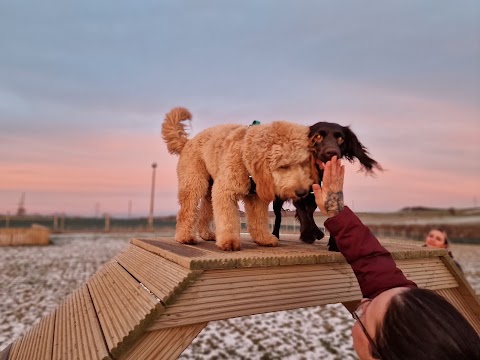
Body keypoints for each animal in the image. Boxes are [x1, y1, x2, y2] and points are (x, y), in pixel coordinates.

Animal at [162, 107, 312, 250]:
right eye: (283, 166)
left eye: (303, 163)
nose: (302, 192)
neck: (244, 154)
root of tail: (187, 142)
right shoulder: (225, 192)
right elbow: (228, 219)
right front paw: (229, 241)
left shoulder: (255, 197)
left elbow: (259, 220)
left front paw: (264, 239)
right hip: (194, 183)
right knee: (186, 211)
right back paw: (185, 237)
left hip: (210, 189)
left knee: (205, 211)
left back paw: (207, 234)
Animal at [272, 121, 380, 250]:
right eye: (318, 136)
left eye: (340, 138)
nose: (332, 152)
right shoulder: (299, 193)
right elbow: (302, 212)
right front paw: (308, 234)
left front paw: (332, 241)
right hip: (278, 199)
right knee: (279, 216)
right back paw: (276, 234)